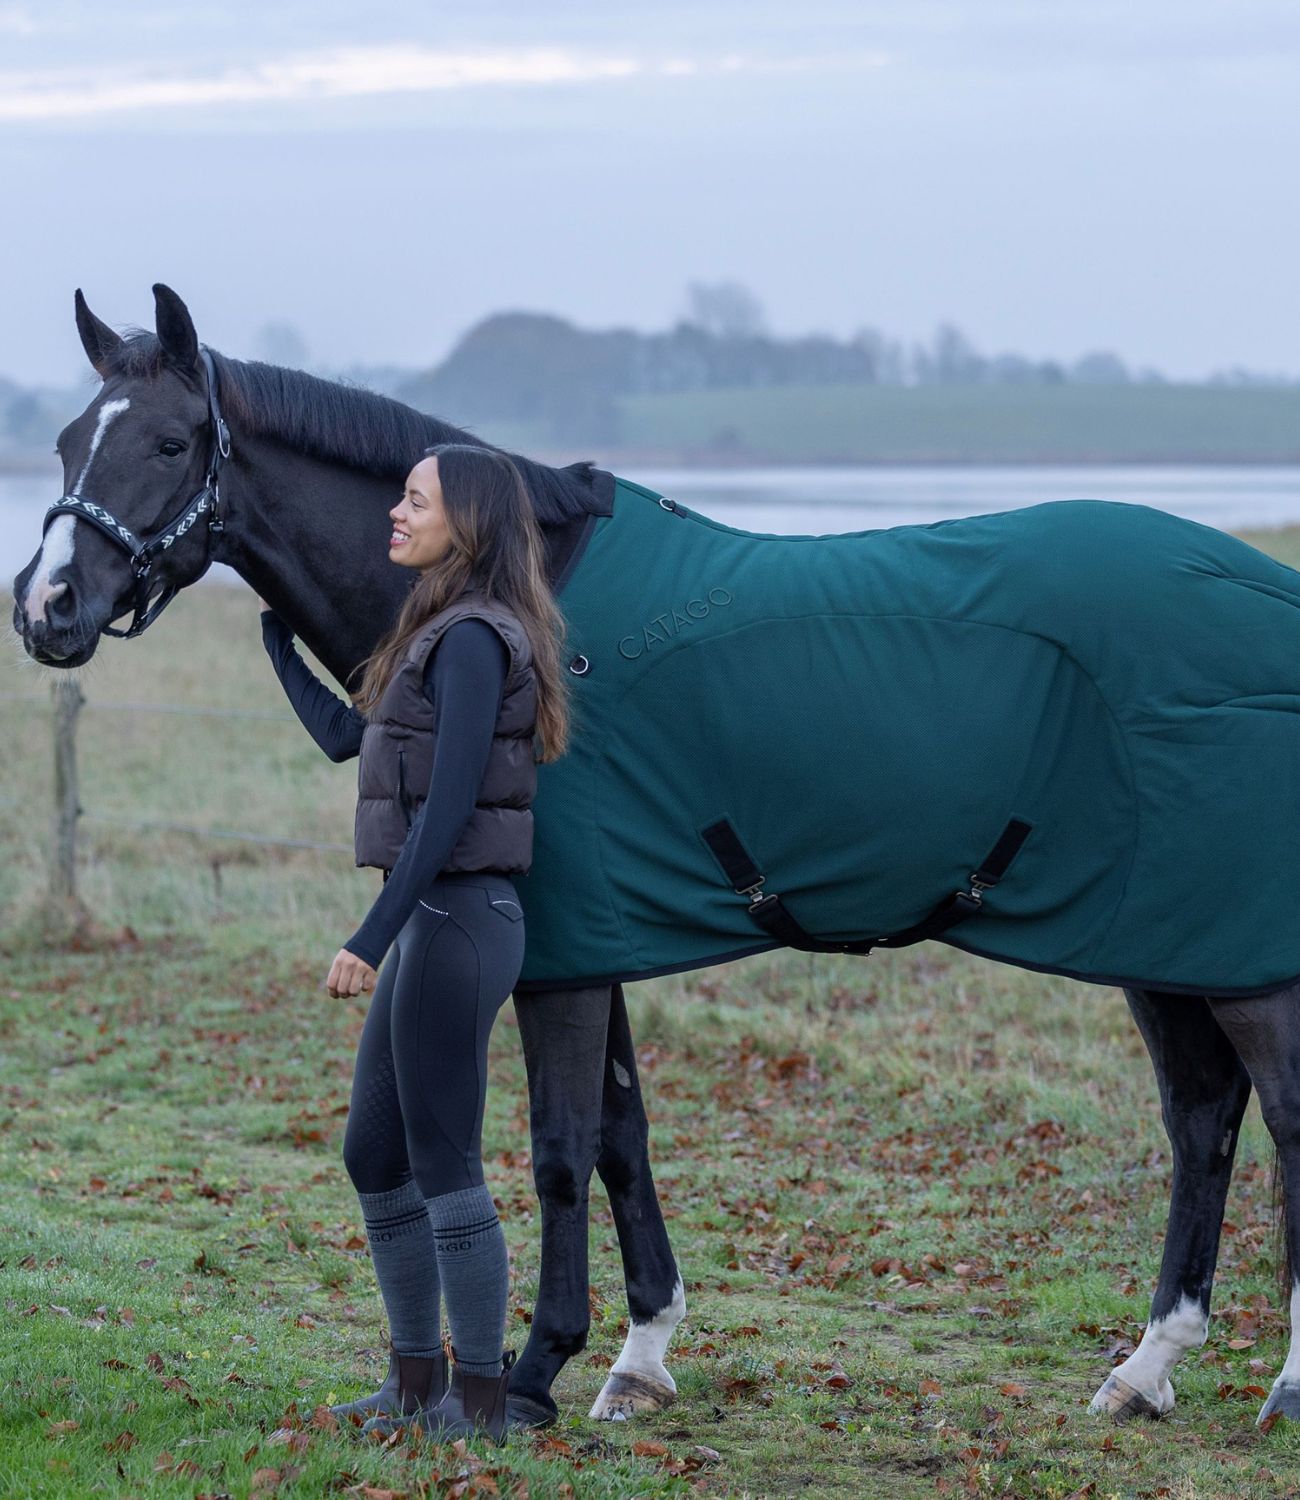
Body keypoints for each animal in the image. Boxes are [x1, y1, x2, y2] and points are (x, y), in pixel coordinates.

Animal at [12, 285, 1300, 1431]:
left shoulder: (561, 959)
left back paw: (1280, 1388)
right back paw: (1144, 1370)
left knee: (1280, 1117)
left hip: (1241, 955)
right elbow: (622, 1139)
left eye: (169, 440)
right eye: (70, 439)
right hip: (1162, 940)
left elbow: (557, 1149)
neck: (528, 600)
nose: (47, 607)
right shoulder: (592, 941)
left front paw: (534, 1372)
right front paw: (639, 1358)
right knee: (1201, 1117)